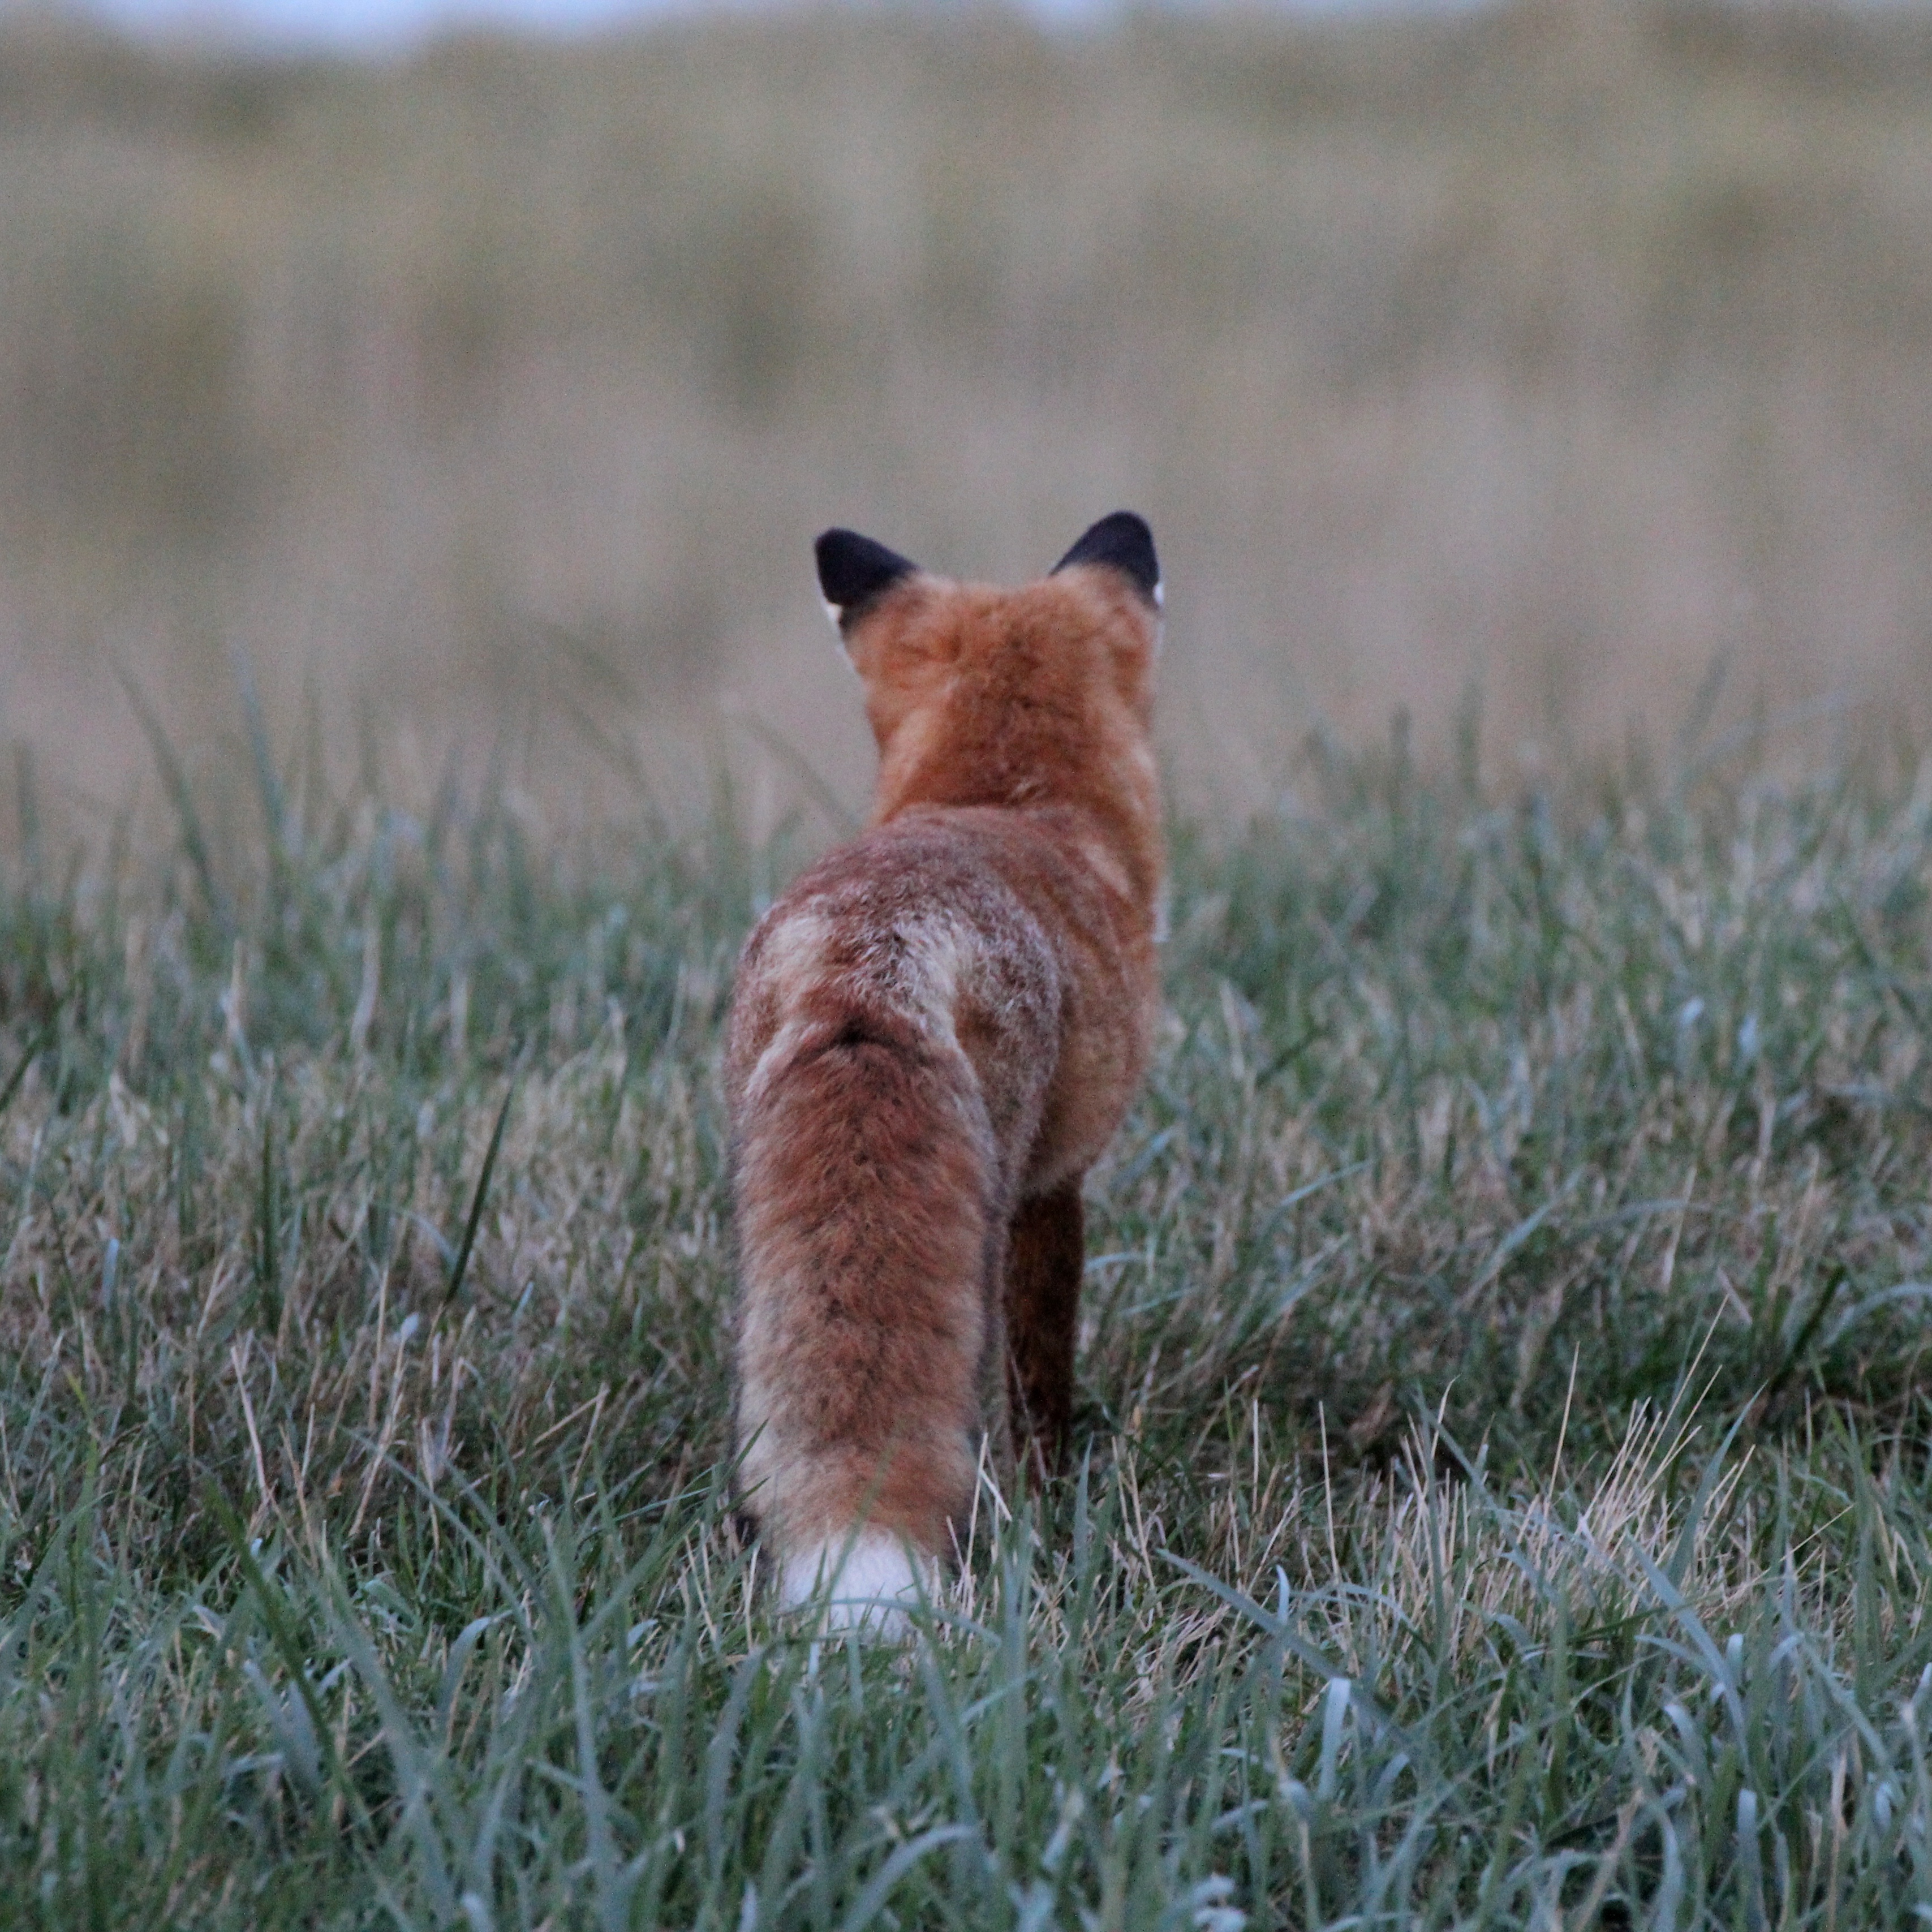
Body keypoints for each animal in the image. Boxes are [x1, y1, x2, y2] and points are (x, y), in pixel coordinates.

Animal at [724, 512, 1165, 1627]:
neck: (1006, 799)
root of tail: (867, 968)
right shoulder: (1057, 1181)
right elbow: (1043, 1379)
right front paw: (1057, 1487)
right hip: (989, 1199)